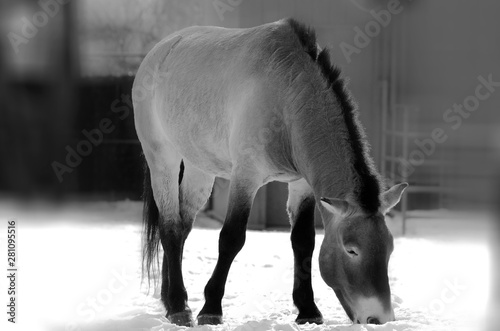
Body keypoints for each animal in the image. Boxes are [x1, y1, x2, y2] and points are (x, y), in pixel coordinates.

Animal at [133, 18, 406, 330]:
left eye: (390, 249)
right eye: (352, 250)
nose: (378, 318)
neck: (286, 100)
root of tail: (158, 51)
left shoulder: (302, 185)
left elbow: (303, 242)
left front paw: (308, 310)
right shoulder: (245, 177)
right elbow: (231, 238)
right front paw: (211, 310)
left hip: (199, 169)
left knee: (182, 227)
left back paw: (170, 302)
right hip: (162, 160)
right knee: (170, 228)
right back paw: (179, 307)